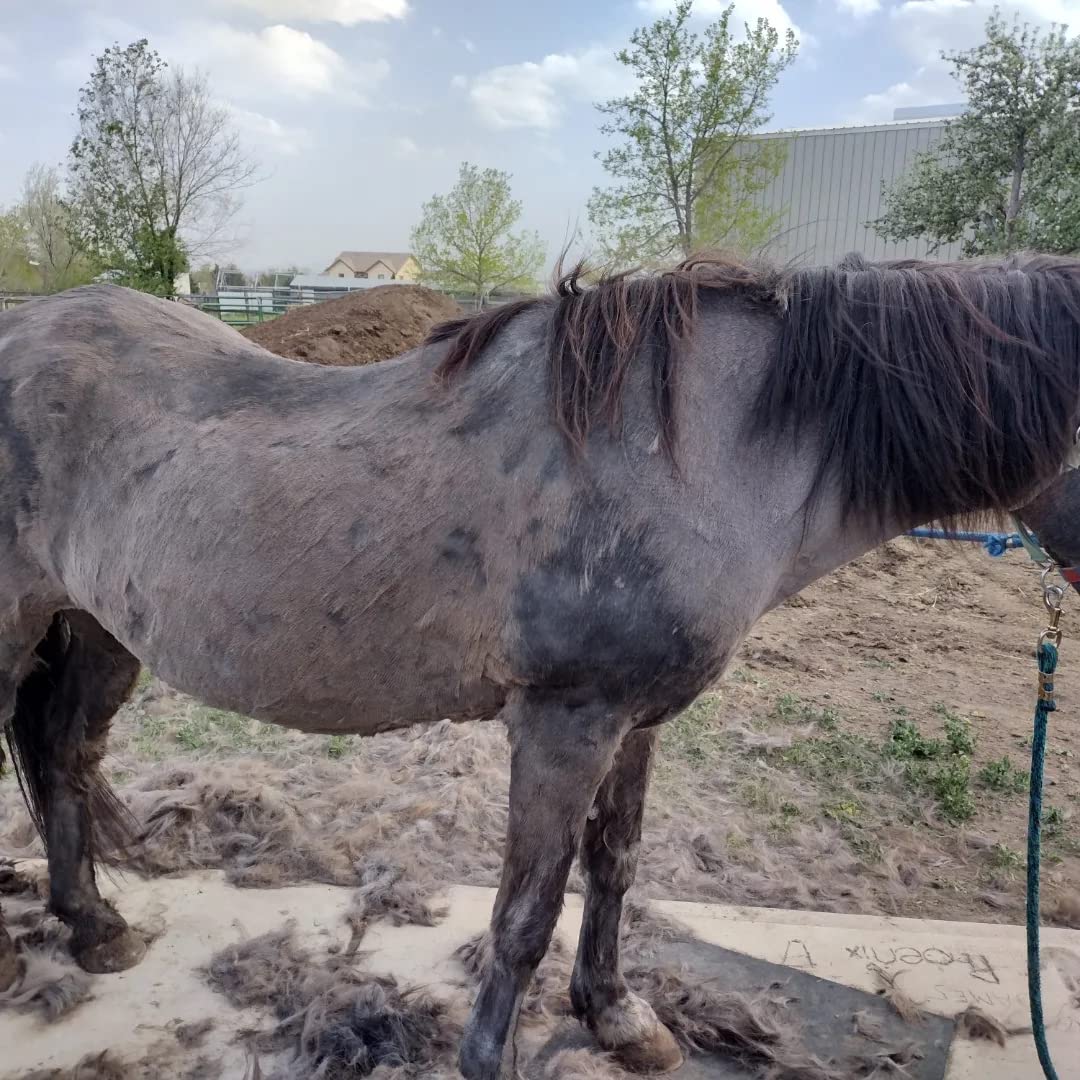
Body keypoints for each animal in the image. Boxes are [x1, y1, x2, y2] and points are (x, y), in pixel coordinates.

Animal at [2, 252, 1080, 1080]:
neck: (691, 450)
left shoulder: (633, 724)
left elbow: (614, 865)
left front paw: (619, 1016)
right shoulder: (565, 723)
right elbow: (527, 909)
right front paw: (495, 1054)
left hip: (100, 628)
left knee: (60, 754)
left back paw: (93, 928)